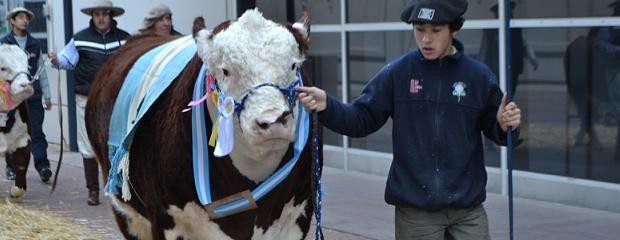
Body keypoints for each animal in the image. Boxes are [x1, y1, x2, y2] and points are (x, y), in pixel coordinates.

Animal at [85, 8, 322, 239]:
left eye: (293, 65)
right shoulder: (164, 219)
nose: (273, 120)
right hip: (127, 215)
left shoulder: (296, 217)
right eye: (225, 70)